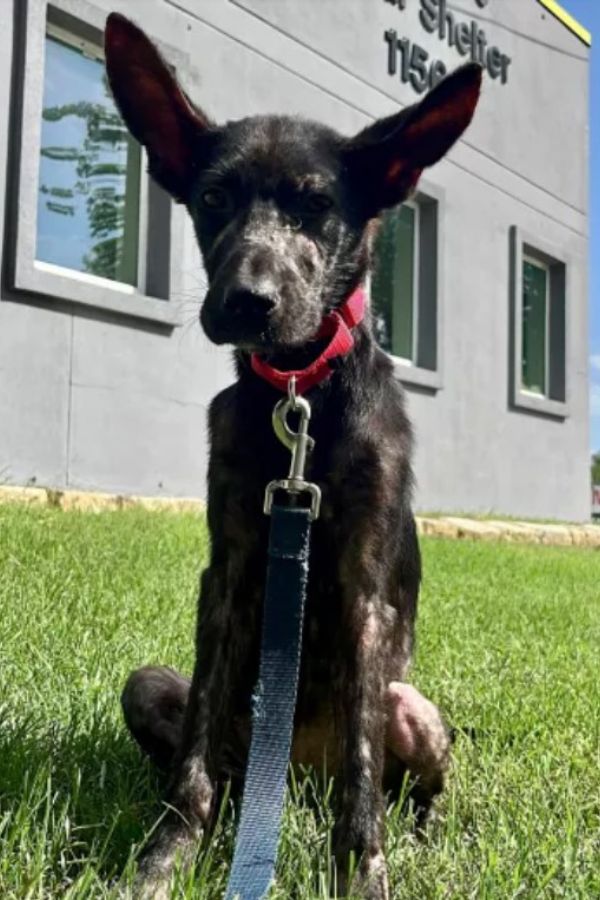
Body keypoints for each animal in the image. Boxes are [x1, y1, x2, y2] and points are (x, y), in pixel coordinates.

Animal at [105, 12, 482, 892]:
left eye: (316, 207)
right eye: (212, 199)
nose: (248, 301)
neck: (300, 396)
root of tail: (294, 771)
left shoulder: (363, 593)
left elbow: (365, 786)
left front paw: (364, 875)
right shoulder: (232, 570)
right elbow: (192, 769)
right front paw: (165, 859)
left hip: (414, 707)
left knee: (408, 783)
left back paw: (428, 836)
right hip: (156, 687)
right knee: (206, 756)